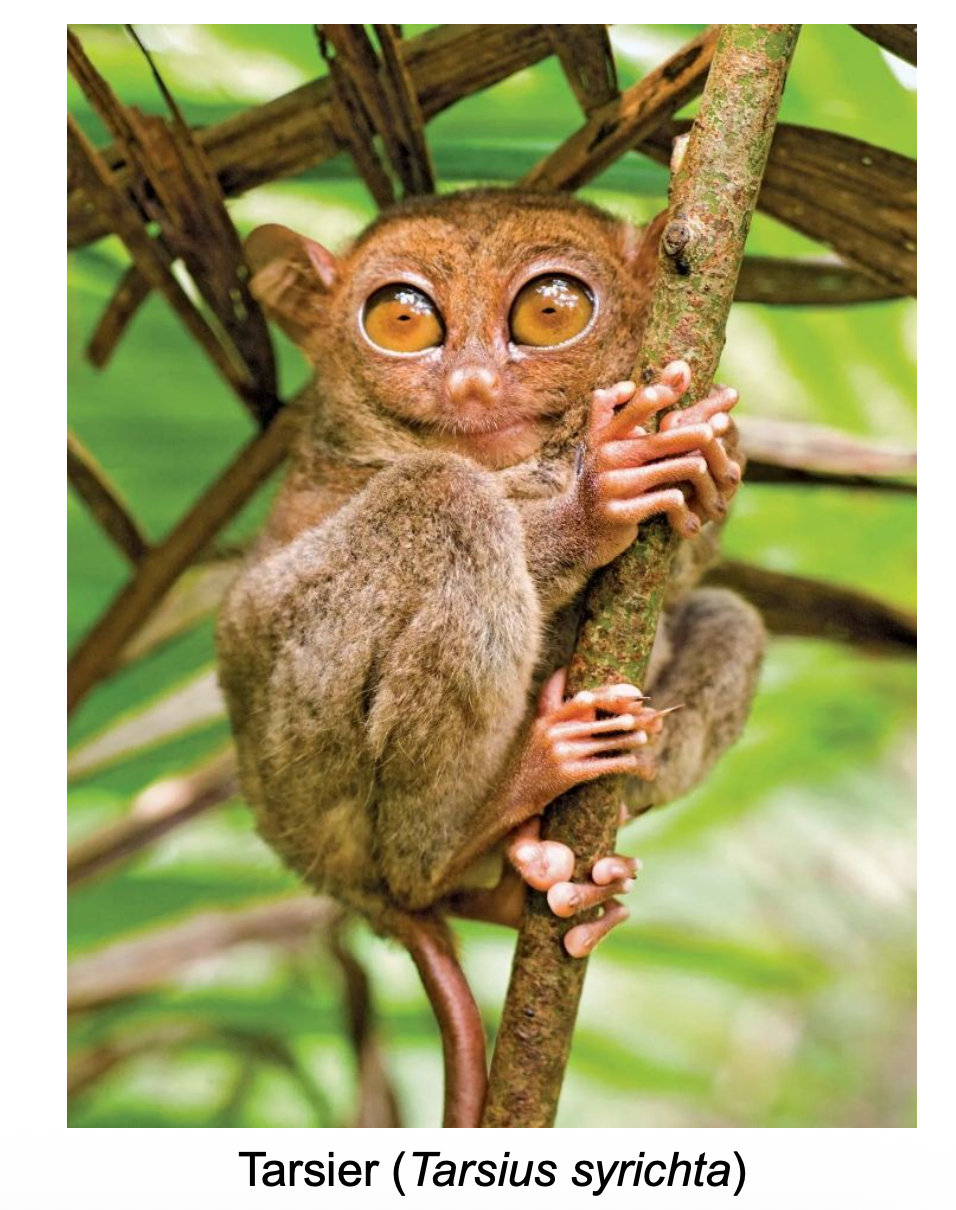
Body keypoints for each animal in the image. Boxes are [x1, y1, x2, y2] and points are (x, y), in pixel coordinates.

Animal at [215, 188, 765, 1127]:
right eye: (401, 321)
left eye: (551, 311)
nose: (472, 381)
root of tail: (331, 880)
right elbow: (480, 499)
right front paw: (592, 498)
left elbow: (693, 567)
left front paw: (715, 466)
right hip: (301, 751)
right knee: (447, 499)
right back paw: (488, 812)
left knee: (733, 619)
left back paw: (535, 880)